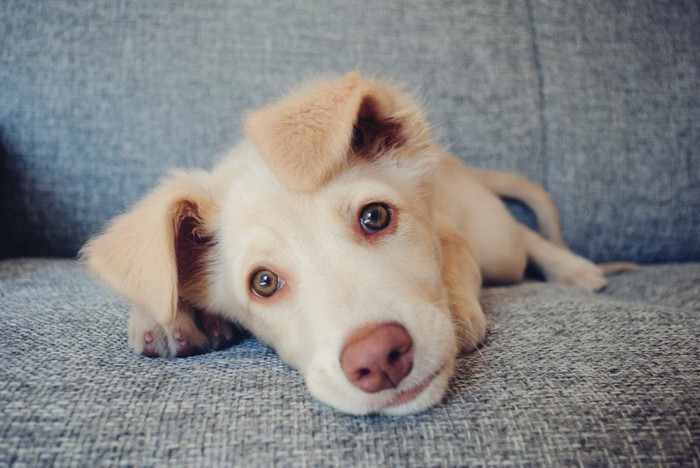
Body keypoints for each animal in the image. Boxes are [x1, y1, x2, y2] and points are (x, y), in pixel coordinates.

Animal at [80, 71, 628, 414]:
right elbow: (156, 284)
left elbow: (452, 255)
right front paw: (167, 316)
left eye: (375, 216)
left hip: (498, 247)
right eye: (263, 282)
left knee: (524, 237)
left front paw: (457, 311)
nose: (379, 359)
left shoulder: (451, 233)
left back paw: (575, 268)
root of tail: (458, 164)